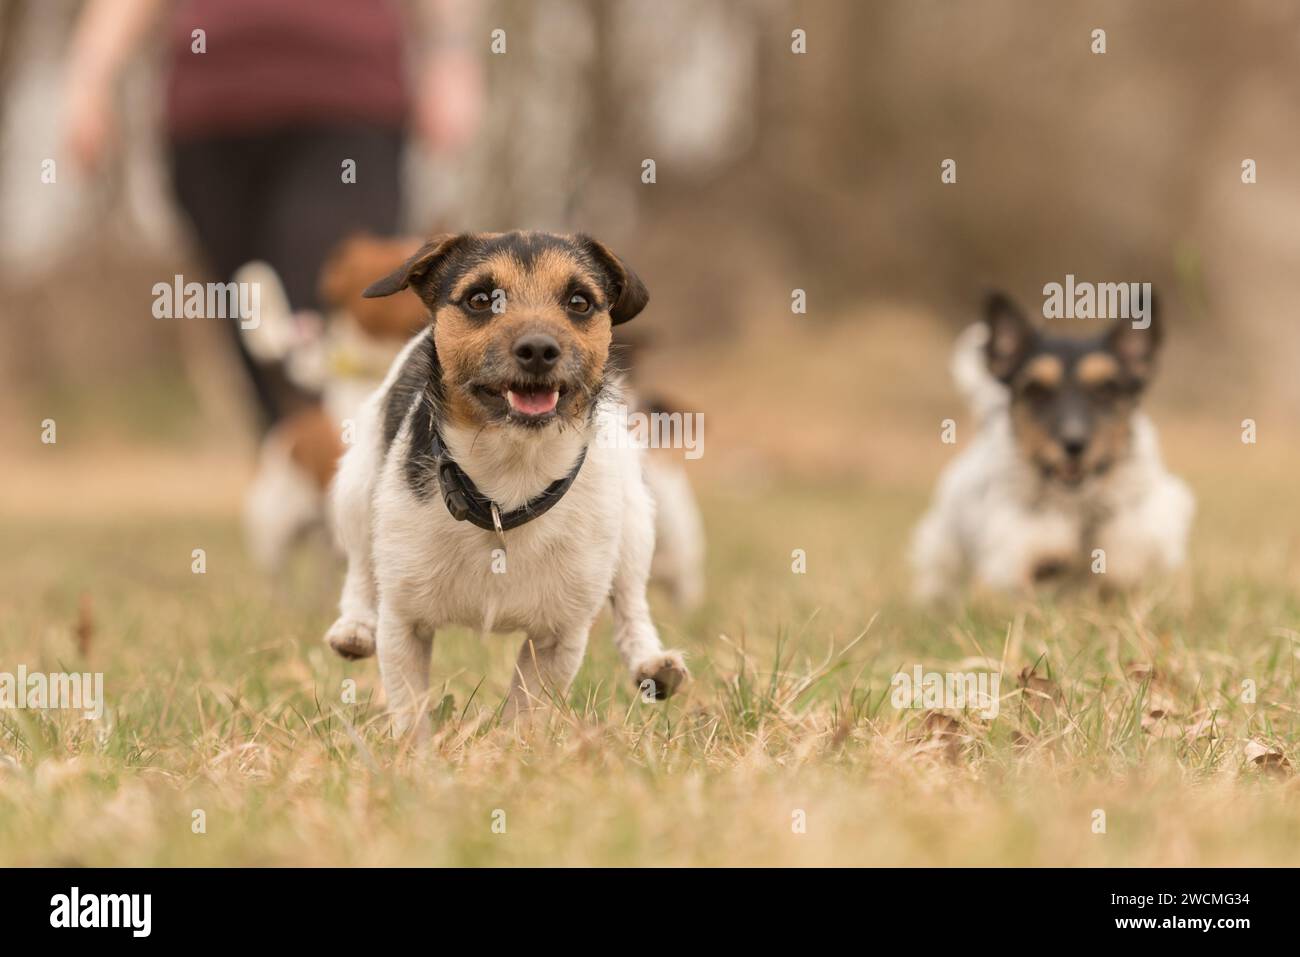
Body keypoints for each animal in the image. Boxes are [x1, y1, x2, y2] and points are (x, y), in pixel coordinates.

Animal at [325, 231, 691, 733]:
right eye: (480, 299)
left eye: (579, 301)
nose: (538, 348)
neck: (509, 482)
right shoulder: (403, 624)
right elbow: (411, 708)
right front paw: (414, 751)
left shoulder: (558, 637)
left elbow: (526, 706)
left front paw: (515, 745)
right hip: (356, 489)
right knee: (361, 567)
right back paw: (355, 628)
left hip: (636, 521)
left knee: (632, 603)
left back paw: (652, 663)